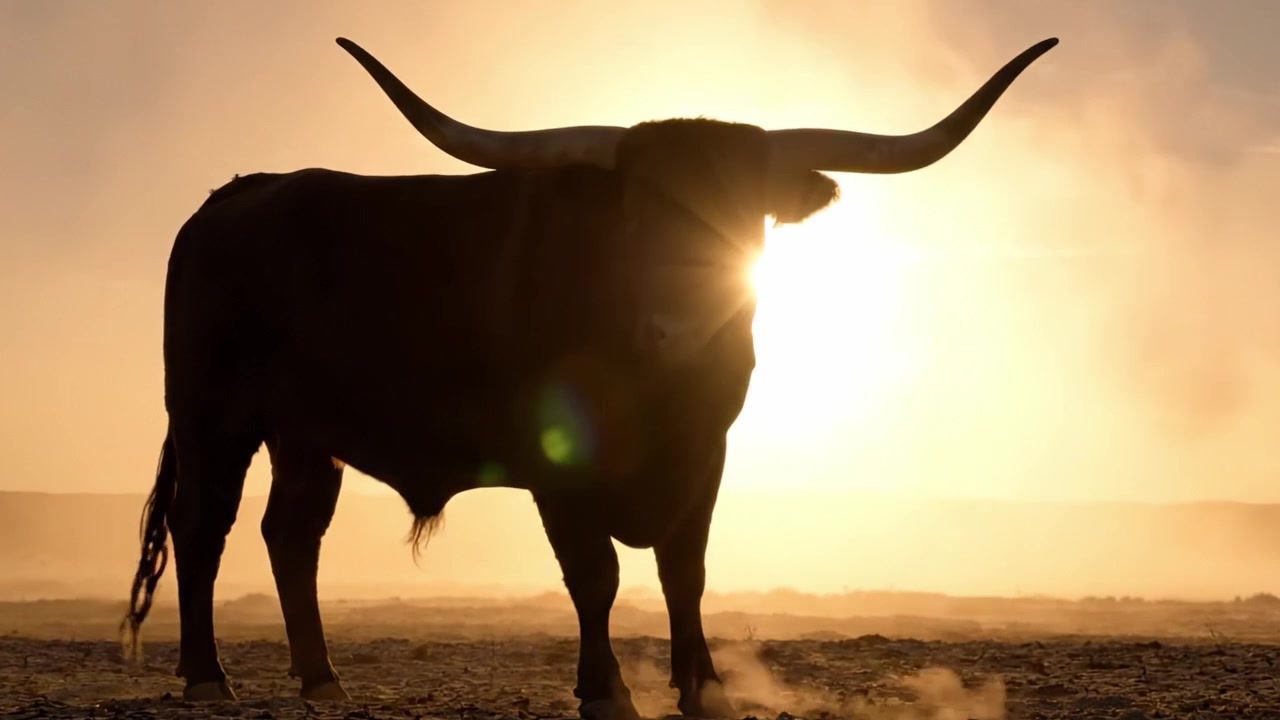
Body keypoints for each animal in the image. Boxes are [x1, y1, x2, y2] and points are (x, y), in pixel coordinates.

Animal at [120, 35, 1057, 719]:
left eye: (746, 217)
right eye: (636, 213)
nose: (683, 328)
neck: (655, 390)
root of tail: (241, 191)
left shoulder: (707, 455)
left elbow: (686, 569)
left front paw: (703, 689)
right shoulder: (557, 469)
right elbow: (594, 574)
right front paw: (605, 692)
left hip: (308, 433)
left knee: (292, 533)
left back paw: (321, 678)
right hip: (212, 415)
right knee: (204, 528)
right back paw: (206, 676)